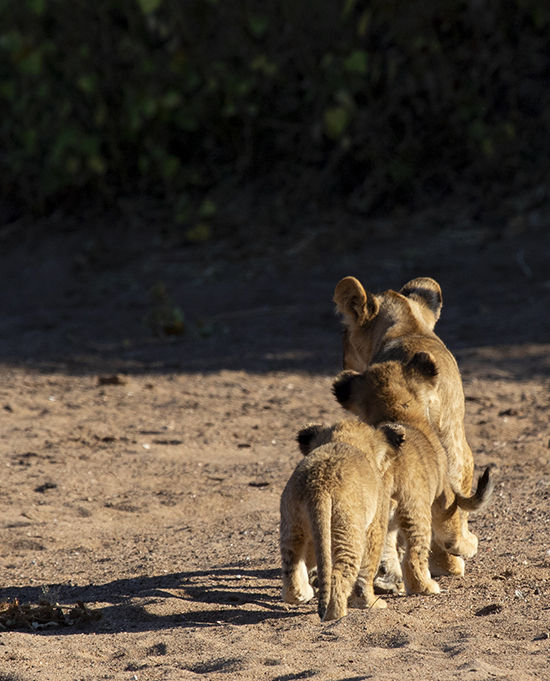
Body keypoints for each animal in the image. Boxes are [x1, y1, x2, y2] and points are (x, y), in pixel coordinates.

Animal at [279, 419, 400, 621]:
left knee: (292, 568)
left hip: (293, 522)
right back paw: (337, 615)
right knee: (338, 575)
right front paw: (371, 603)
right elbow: (367, 569)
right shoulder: (375, 525)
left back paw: (304, 594)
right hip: (348, 529)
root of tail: (319, 484)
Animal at [332, 352, 493, 594]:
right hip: (415, 510)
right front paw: (468, 546)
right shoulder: (443, 493)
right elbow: (451, 534)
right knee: (414, 556)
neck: (396, 412)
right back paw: (425, 586)